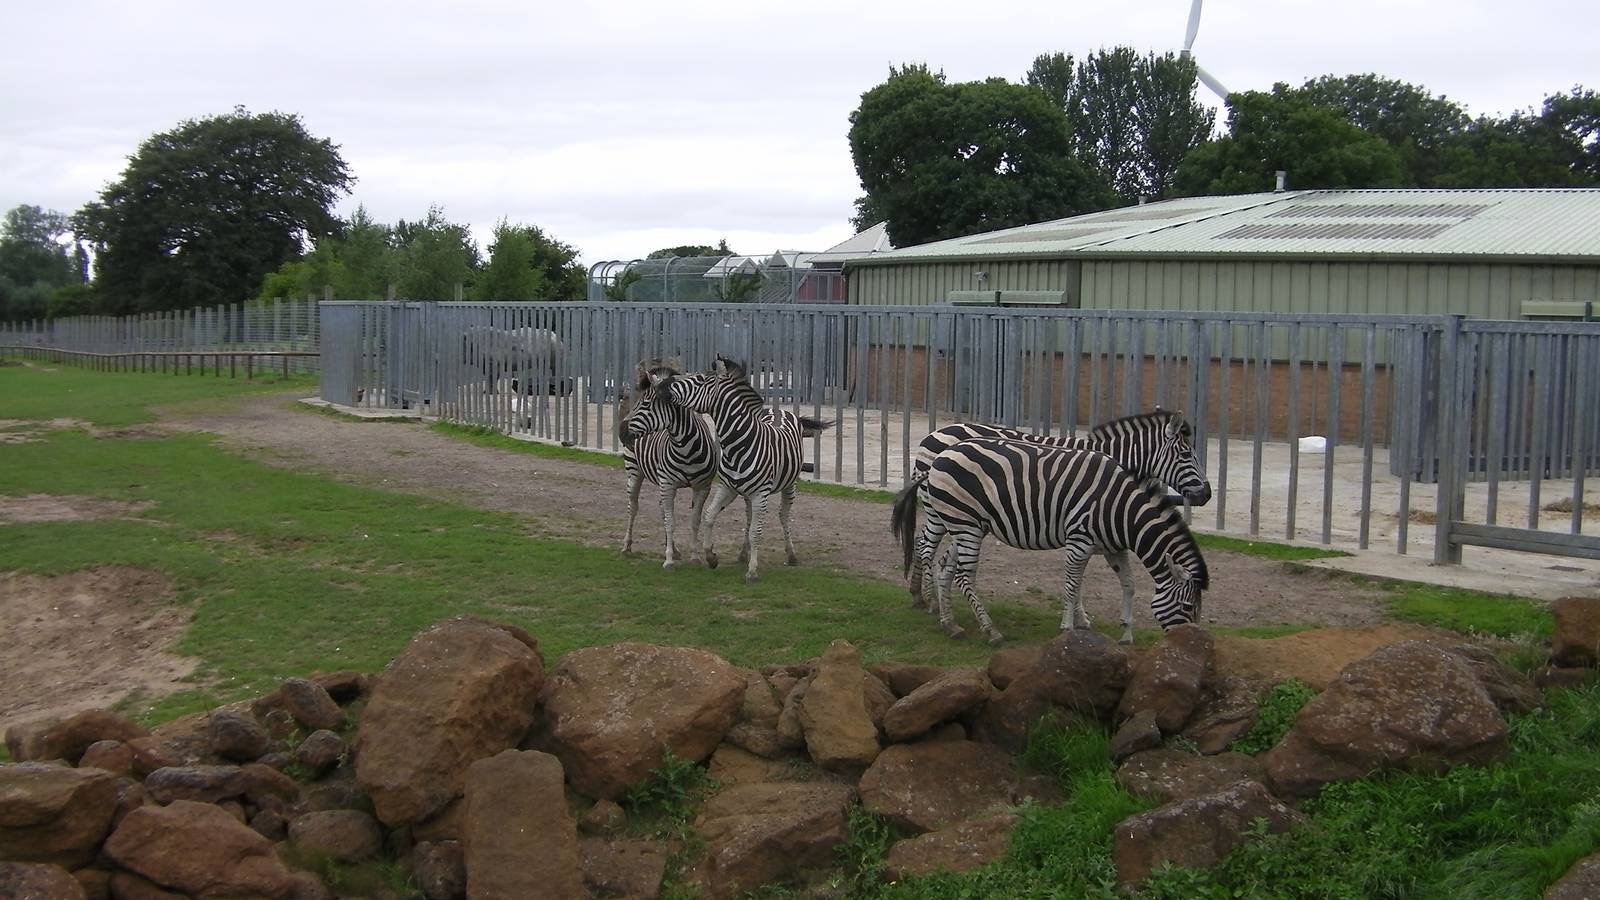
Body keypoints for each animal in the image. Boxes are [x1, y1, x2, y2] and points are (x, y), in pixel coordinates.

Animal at [617, 359, 719, 569]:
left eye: (646, 404)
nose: (621, 431)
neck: (687, 449)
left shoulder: (702, 487)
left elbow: (694, 521)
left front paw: (694, 557)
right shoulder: (668, 484)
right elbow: (671, 522)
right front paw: (669, 560)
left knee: (661, 509)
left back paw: (675, 548)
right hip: (634, 470)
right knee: (633, 507)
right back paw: (626, 546)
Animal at [649, 355, 833, 581]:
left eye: (699, 379)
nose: (660, 385)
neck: (738, 445)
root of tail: (779, 409)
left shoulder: (760, 494)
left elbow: (756, 531)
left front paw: (752, 571)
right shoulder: (727, 488)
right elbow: (709, 516)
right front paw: (711, 556)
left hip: (790, 485)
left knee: (783, 515)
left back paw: (791, 555)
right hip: (747, 494)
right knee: (749, 517)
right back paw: (743, 554)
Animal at [905, 410, 1212, 643]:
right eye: (1186, 455)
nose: (1206, 494)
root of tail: (933, 435)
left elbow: (1098, 582)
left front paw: (1084, 619)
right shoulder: (1079, 534)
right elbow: (1075, 583)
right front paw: (1077, 621)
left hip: (960, 520)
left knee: (936, 553)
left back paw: (932, 605)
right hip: (942, 512)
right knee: (928, 548)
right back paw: (936, 604)